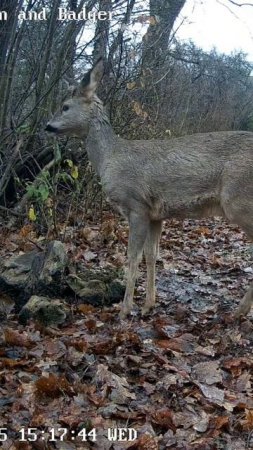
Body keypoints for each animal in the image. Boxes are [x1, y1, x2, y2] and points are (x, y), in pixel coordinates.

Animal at [46, 59, 253, 318]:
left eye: (65, 106)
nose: (47, 126)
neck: (110, 158)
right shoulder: (156, 215)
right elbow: (151, 255)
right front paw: (148, 305)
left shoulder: (136, 205)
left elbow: (132, 256)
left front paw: (125, 309)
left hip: (240, 202)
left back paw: (239, 311)